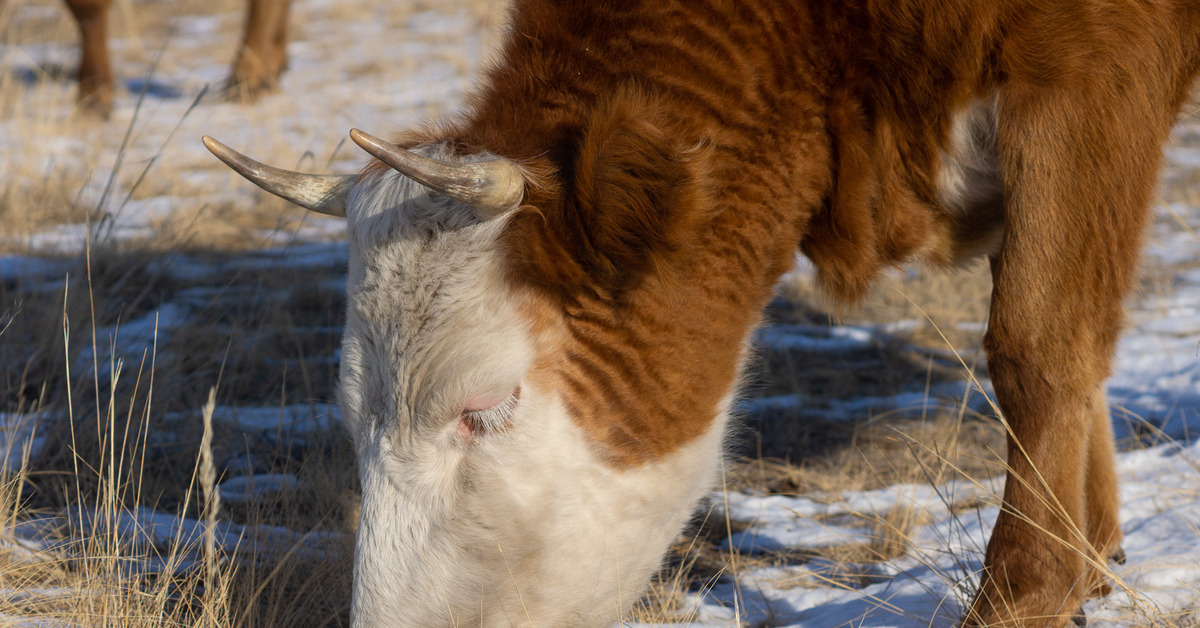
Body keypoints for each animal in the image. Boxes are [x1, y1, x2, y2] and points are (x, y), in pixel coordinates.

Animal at [201, 0, 1200, 624]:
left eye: (483, 407)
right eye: (349, 415)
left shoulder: (1089, 70)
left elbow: (1039, 340)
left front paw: (1025, 595)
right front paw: (1093, 562)